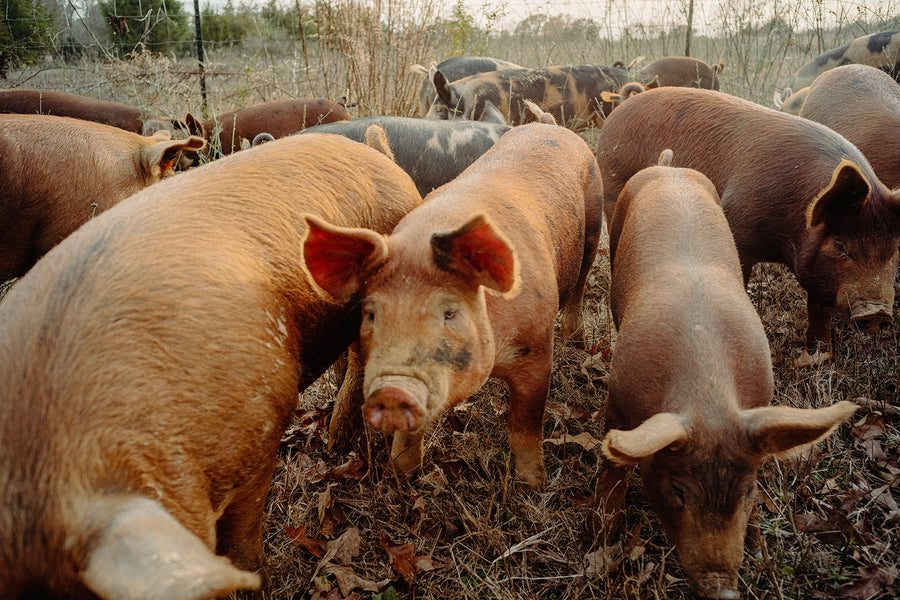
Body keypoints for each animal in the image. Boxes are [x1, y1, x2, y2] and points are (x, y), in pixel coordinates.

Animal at [301, 123, 603, 488]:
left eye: (450, 313)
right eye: (371, 314)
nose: (393, 389)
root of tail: (551, 125)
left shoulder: (537, 350)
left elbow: (525, 425)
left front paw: (532, 485)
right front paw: (403, 476)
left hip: (594, 224)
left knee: (582, 281)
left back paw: (576, 339)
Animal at [596, 87, 900, 367]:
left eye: (894, 251)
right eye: (841, 246)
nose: (878, 312)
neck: (784, 240)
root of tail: (620, 109)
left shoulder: (819, 271)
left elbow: (819, 307)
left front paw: (814, 360)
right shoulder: (737, 232)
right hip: (611, 188)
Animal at [597, 152, 860, 599]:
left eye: (749, 489)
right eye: (679, 489)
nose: (723, 589)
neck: (707, 392)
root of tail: (668, 167)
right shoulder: (617, 404)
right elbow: (613, 476)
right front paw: (598, 544)